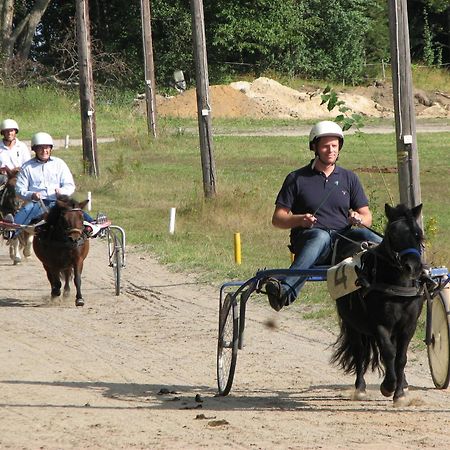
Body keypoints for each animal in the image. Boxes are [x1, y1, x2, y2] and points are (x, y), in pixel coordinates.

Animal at [330, 205, 426, 408]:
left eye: (418, 233)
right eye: (392, 233)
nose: (412, 267)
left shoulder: (408, 326)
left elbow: (401, 358)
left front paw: (399, 393)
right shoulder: (379, 325)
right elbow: (388, 353)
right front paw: (388, 386)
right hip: (352, 324)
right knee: (359, 352)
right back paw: (360, 388)